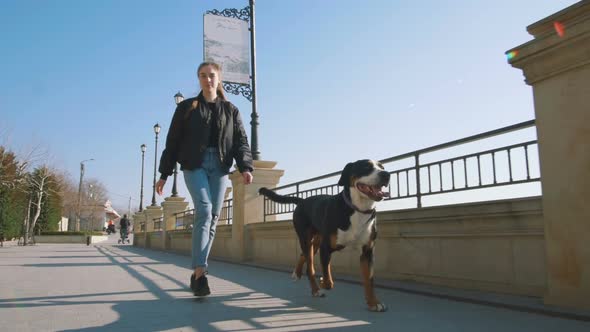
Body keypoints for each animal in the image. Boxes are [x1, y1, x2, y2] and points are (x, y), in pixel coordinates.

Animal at [260, 158, 390, 312]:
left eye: (382, 167)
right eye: (366, 167)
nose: (386, 175)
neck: (357, 210)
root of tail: (303, 201)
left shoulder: (367, 252)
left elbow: (369, 280)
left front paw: (373, 302)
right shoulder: (326, 248)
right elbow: (328, 281)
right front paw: (323, 281)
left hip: (315, 242)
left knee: (304, 255)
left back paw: (297, 273)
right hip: (306, 238)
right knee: (310, 268)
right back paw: (316, 289)